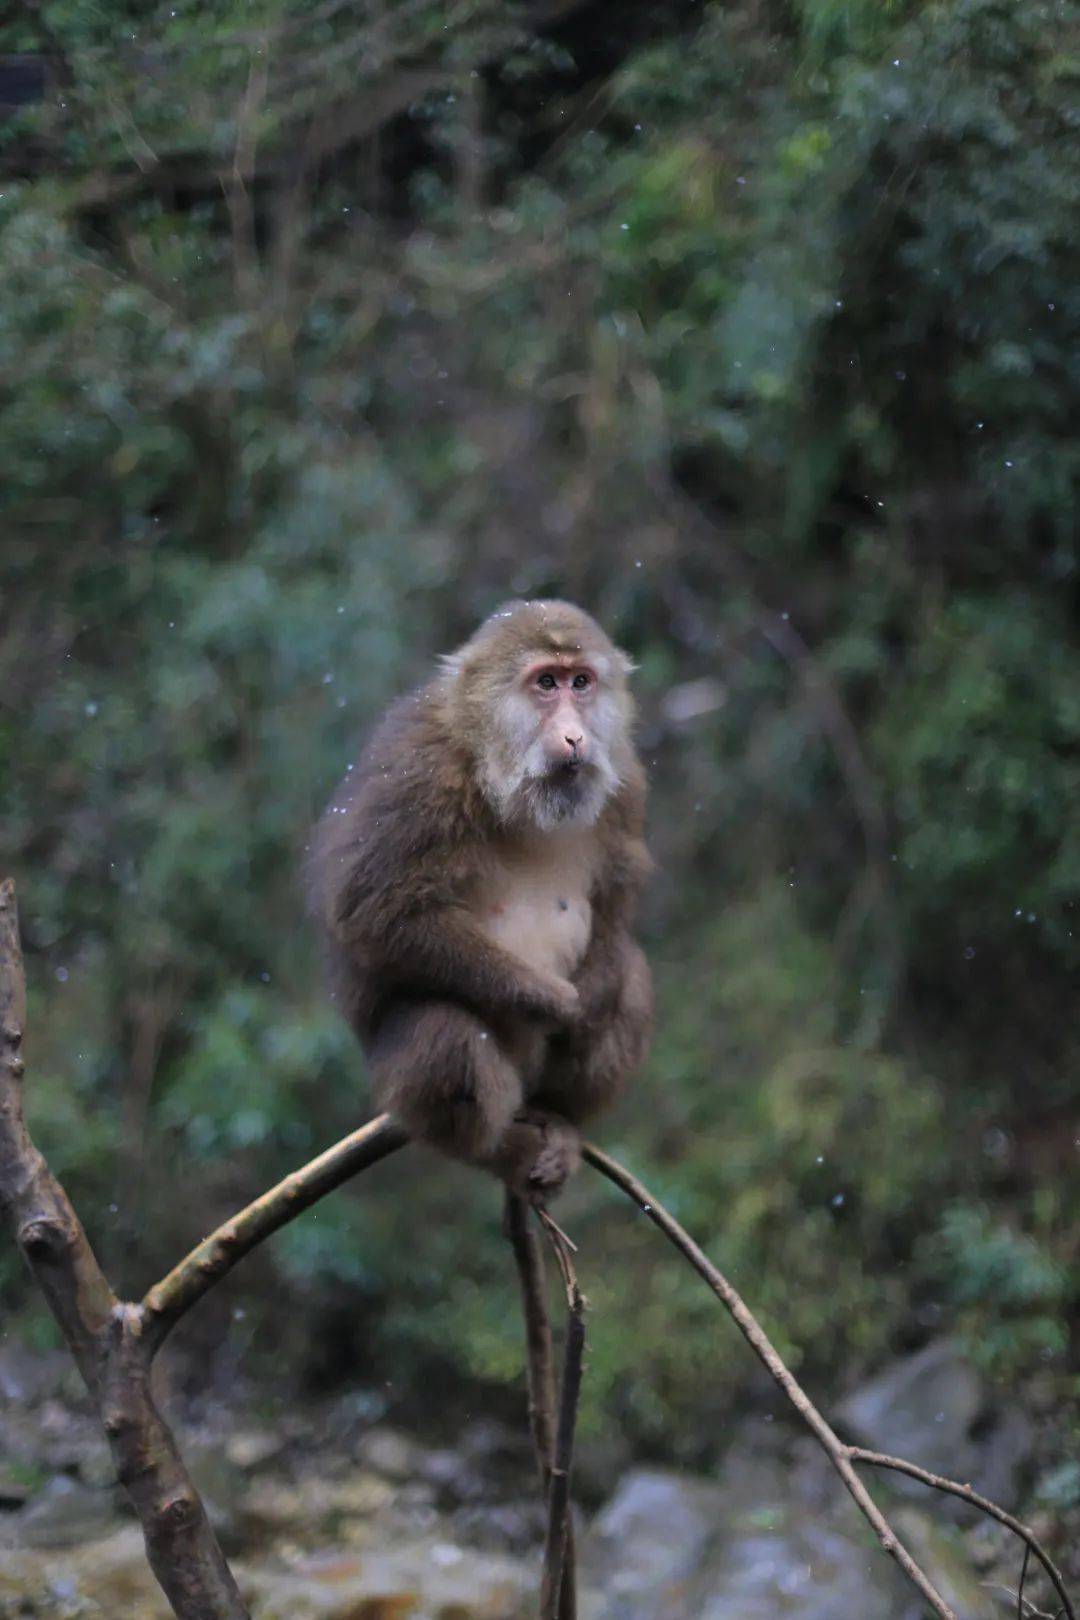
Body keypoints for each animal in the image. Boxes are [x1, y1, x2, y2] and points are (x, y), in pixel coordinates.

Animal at [307, 599, 654, 1205]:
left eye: (581, 683)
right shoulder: (420, 773)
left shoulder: (625, 783)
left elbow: (616, 902)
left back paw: (561, 1118)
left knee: (629, 979)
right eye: (545, 683)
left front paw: (587, 1004)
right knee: (442, 1030)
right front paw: (555, 1002)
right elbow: (375, 913)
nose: (574, 736)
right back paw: (500, 1151)